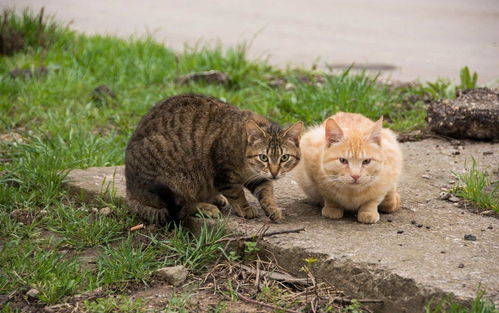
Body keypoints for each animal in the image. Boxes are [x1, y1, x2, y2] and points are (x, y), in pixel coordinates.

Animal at [127, 93, 302, 224]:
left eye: (285, 157)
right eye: (263, 157)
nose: (275, 173)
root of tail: (130, 193)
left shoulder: (258, 177)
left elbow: (266, 191)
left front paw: (272, 209)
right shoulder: (223, 174)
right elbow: (237, 193)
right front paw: (245, 209)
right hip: (177, 179)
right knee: (181, 204)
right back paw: (206, 207)